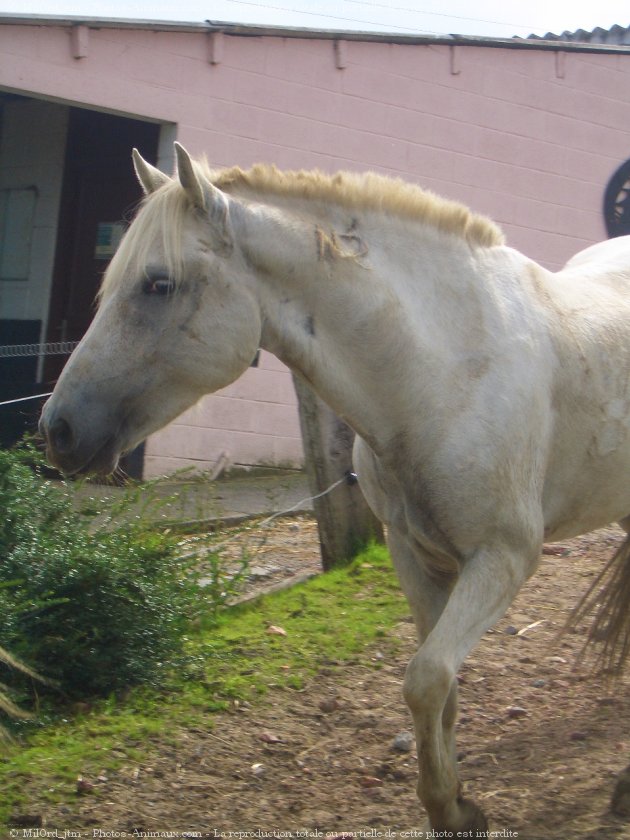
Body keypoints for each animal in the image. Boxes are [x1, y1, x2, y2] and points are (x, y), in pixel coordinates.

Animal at [40, 144, 630, 832]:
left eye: (158, 283)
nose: (58, 430)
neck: (446, 368)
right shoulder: (413, 553)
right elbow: (443, 691)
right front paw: (454, 804)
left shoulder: (503, 558)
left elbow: (426, 678)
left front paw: (451, 807)